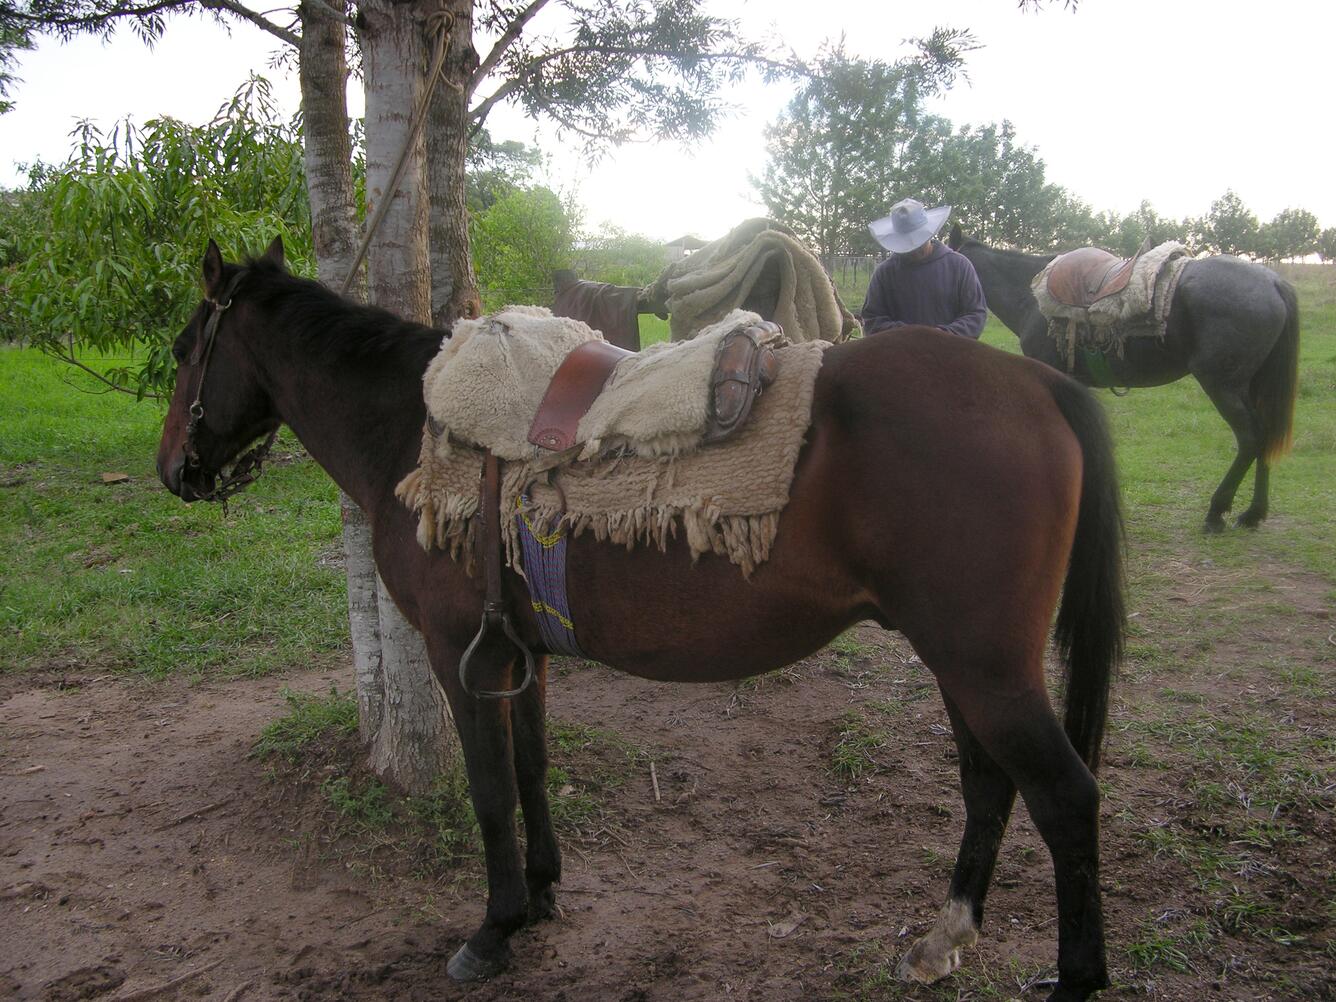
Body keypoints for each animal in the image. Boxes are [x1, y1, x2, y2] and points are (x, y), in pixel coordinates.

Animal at [156, 239, 1127, 999]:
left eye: (180, 349)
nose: (174, 470)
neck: (412, 426)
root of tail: (1037, 381)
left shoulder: (458, 653)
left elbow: (488, 791)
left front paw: (494, 928)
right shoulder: (522, 652)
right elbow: (532, 770)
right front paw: (543, 895)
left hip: (983, 666)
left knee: (1066, 797)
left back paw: (1073, 980)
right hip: (961, 664)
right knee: (988, 785)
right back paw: (943, 938)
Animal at [945, 227, 1298, 534]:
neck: (1029, 296)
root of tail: (1273, 281)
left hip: (1222, 386)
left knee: (1250, 438)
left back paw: (1217, 512)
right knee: (1264, 436)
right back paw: (1253, 514)